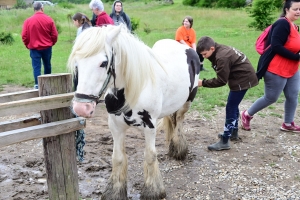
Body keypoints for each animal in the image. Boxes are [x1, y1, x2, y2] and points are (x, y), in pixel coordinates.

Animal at [67, 25, 199, 200]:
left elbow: (150, 156)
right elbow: (117, 158)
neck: (134, 89)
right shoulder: (115, 126)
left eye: (104, 63)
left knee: (180, 119)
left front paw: (153, 191)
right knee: (173, 118)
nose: (81, 108)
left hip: (187, 101)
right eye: (77, 63)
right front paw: (115, 191)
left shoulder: (149, 126)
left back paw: (179, 149)